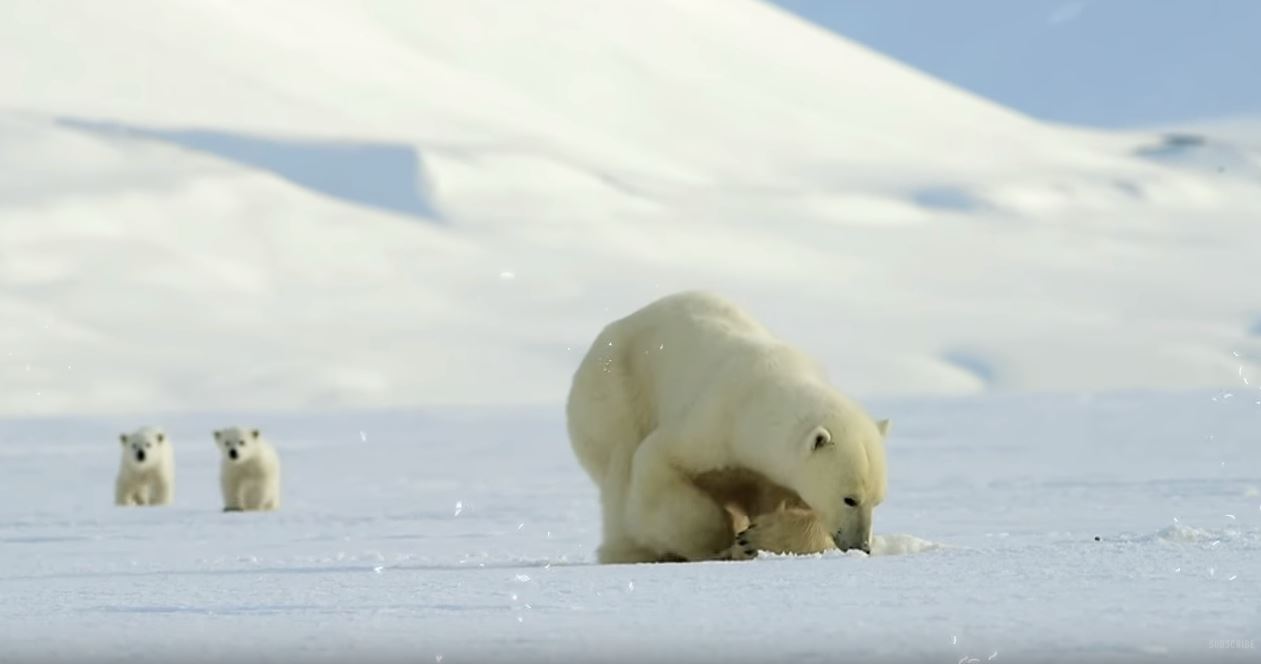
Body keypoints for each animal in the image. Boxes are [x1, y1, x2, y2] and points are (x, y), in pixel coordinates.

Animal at [567, 292, 892, 566]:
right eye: (850, 499)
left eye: (877, 501)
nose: (861, 546)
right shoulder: (715, 422)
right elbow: (658, 463)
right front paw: (723, 540)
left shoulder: (771, 474)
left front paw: (754, 538)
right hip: (614, 393)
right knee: (621, 469)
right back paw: (631, 551)